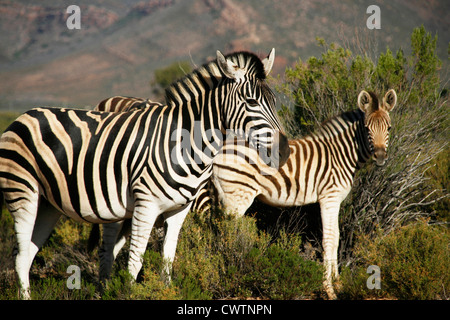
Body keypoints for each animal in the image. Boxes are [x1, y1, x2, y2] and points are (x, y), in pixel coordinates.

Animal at [0, 48, 290, 298]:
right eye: (251, 101)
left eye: (274, 101)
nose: (284, 151)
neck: (185, 145)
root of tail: (23, 116)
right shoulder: (145, 205)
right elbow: (135, 263)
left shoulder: (179, 211)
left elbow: (168, 261)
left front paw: (166, 291)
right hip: (22, 190)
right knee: (20, 254)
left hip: (48, 203)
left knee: (29, 253)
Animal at [211, 89, 398, 298]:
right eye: (367, 129)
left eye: (389, 128)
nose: (380, 157)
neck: (342, 154)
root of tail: (219, 149)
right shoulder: (329, 198)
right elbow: (329, 239)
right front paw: (329, 289)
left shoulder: (335, 201)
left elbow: (337, 238)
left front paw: (339, 284)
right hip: (238, 197)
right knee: (228, 234)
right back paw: (232, 275)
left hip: (224, 195)